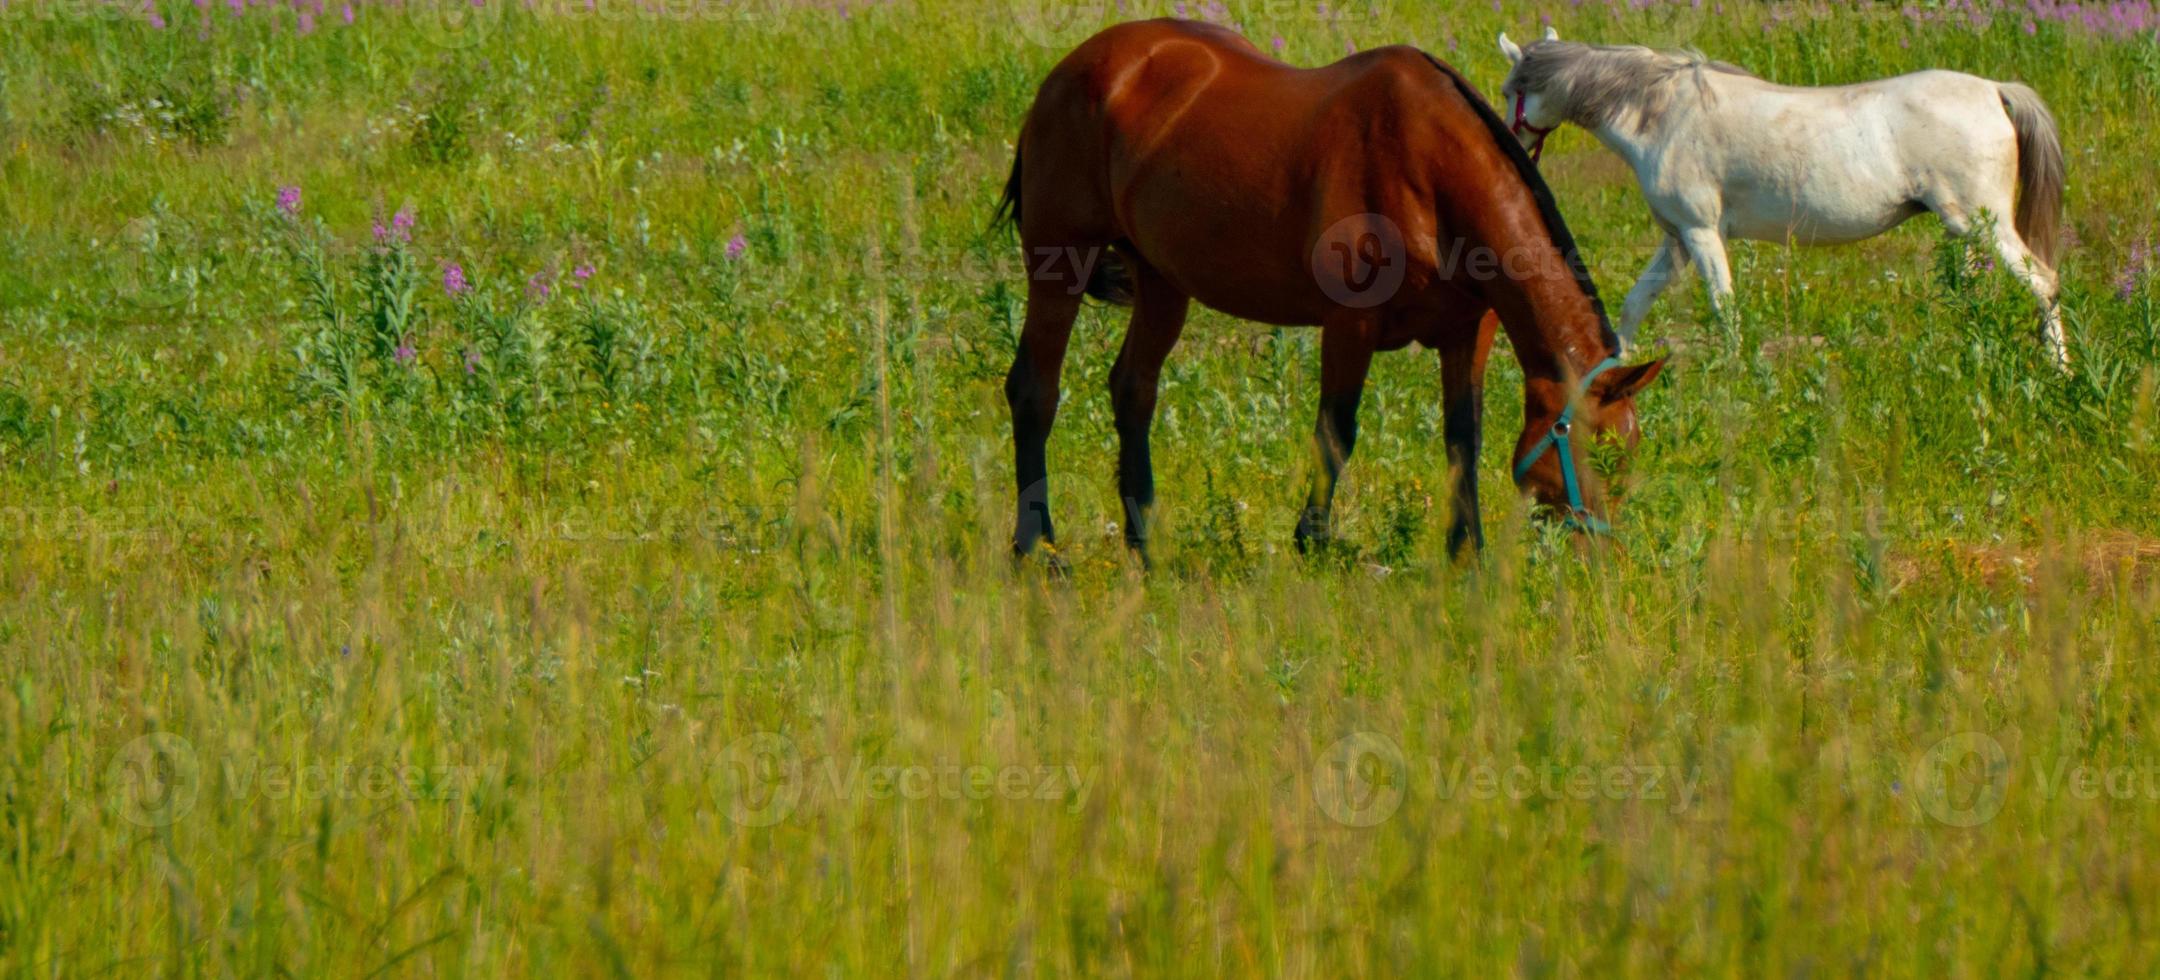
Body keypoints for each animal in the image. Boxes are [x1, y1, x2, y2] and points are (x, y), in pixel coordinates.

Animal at [993, 19, 1667, 561]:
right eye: (1603, 452)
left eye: (1631, 456)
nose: (1599, 558)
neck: (1431, 168)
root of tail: (1075, 68)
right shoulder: (1351, 324)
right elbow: (1336, 432)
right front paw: (1312, 543)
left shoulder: (1466, 332)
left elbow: (1463, 439)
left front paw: (1465, 552)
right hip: (1059, 263)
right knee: (1035, 391)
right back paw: (1037, 546)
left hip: (1162, 280)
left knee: (1133, 391)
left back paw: (1144, 545)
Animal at [1494, 32, 2064, 366]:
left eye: (1508, 90)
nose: (1510, 146)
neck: (1662, 115)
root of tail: (1992, 89)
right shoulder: (1676, 239)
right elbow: (1635, 304)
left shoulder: (1701, 233)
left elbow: (1723, 306)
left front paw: (1733, 374)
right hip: (1963, 229)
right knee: (1976, 294)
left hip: (1986, 225)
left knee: (2044, 284)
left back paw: (2057, 369)